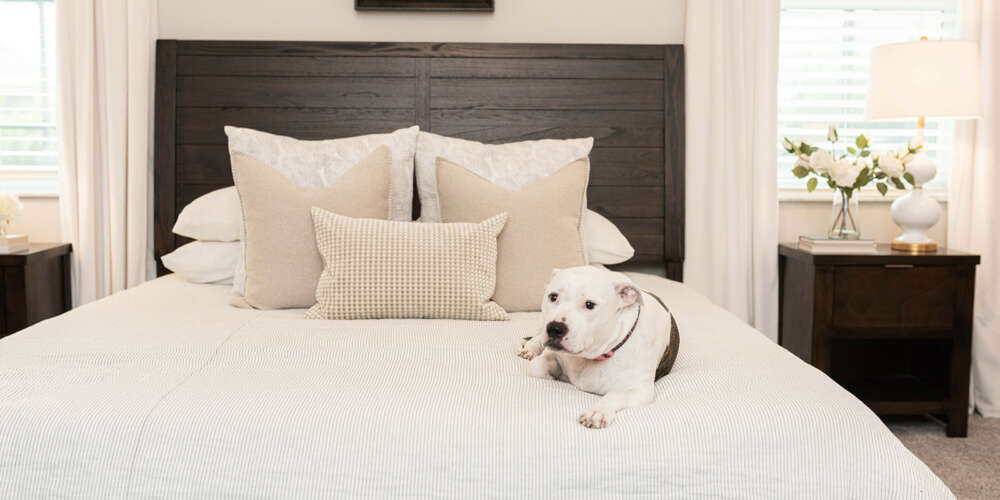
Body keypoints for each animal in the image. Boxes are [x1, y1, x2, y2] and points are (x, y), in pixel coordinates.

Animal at [516, 268, 680, 428]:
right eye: (553, 296)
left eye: (589, 305)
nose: (555, 328)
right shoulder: (554, 354)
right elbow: (536, 367)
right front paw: (551, 376)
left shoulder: (641, 390)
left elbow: (615, 394)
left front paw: (598, 411)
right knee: (537, 336)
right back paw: (530, 348)